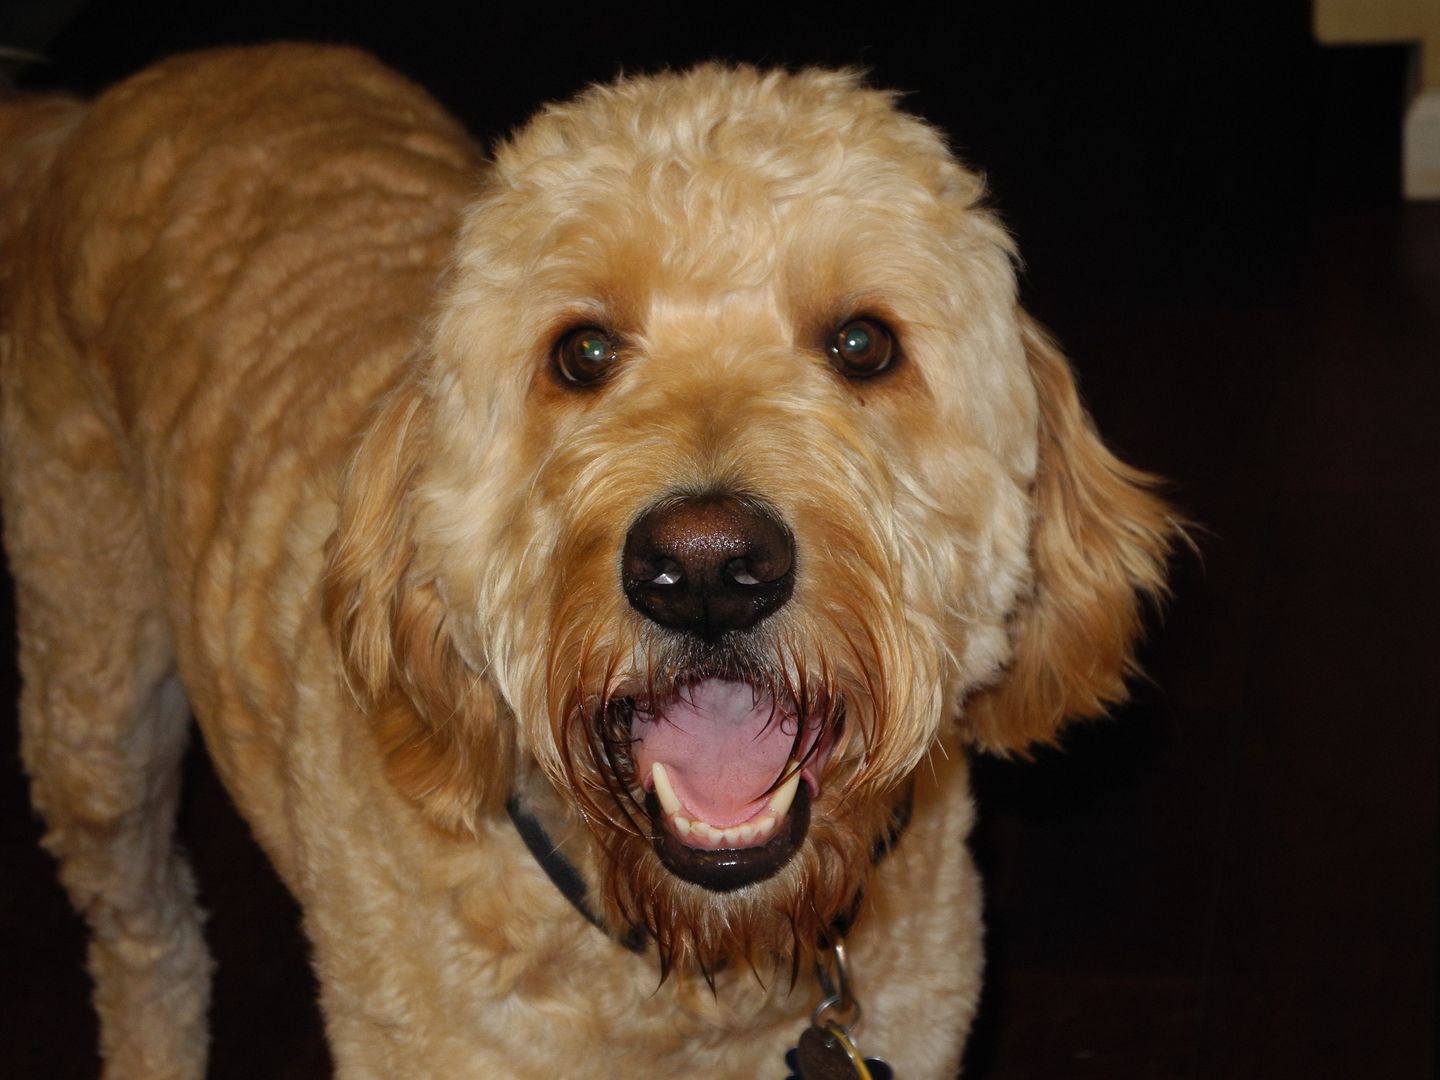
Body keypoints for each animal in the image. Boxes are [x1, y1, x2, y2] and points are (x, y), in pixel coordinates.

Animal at [0, 44, 1169, 1080]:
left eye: (863, 344)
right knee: (143, 942)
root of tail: (102, 104)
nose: (706, 570)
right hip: (94, 715)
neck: (704, 978)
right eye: (583, 353)